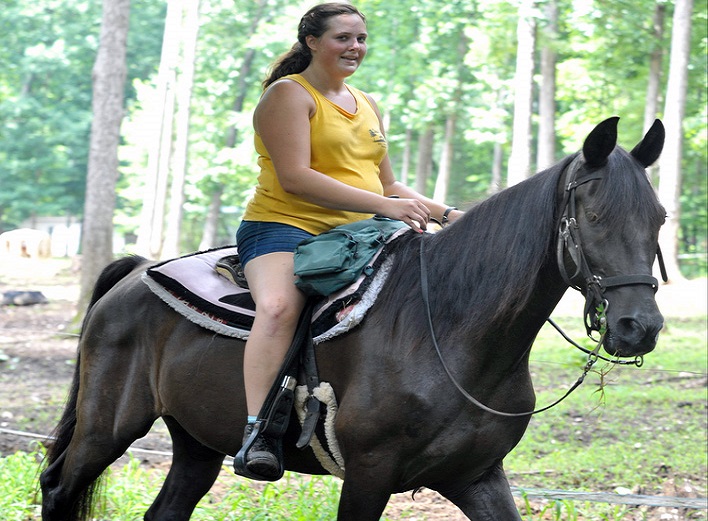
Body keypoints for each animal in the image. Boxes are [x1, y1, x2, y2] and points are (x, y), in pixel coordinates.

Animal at [41, 118, 668, 520]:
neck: (450, 330)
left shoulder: (477, 475)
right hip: (106, 427)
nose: (639, 326)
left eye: (659, 216)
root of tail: (135, 273)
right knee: (56, 488)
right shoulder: (369, 474)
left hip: (195, 441)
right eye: (594, 215)